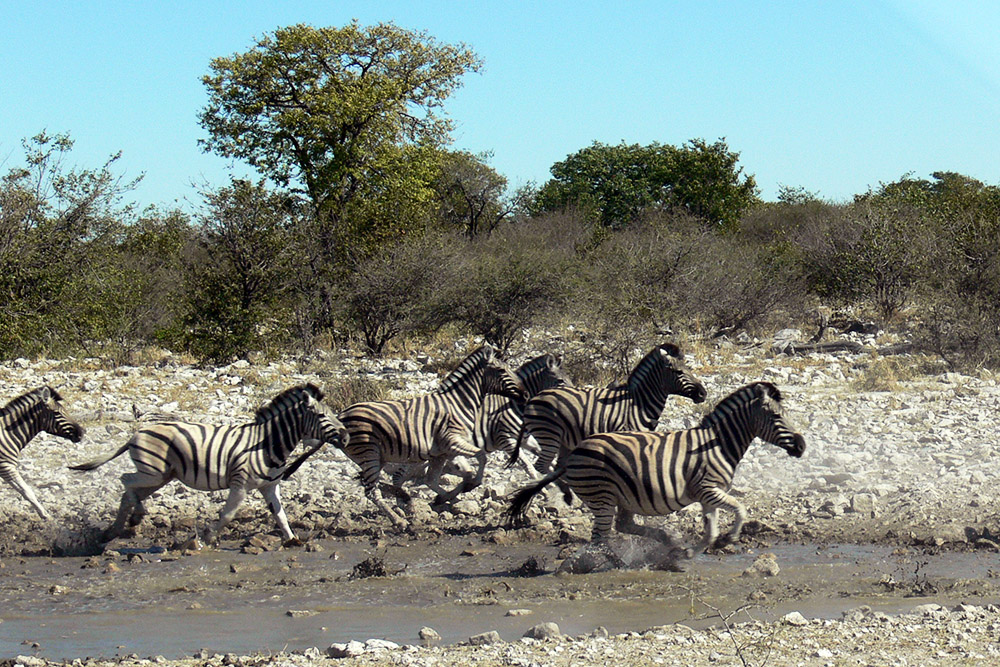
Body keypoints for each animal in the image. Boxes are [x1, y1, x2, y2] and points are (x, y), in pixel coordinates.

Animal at [1, 386, 85, 519]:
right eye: (57, 413)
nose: (81, 433)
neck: (7, 433)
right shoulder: (6, 466)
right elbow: (27, 492)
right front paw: (46, 516)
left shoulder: (5, 468)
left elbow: (23, 492)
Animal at [69, 383, 347, 543]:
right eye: (321, 416)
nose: (345, 436)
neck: (268, 443)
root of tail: (135, 434)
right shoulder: (240, 484)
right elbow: (227, 514)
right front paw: (208, 537)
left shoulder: (269, 486)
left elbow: (281, 515)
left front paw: (292, 540)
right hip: (153, 472)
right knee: (125, 481)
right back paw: (135, 516)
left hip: (160, 476)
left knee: (130, 493)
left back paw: (117, 529)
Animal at [337, 345, 526, 530]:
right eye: (501, 370)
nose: (525, 395)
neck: (459, 403)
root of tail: (341, 415)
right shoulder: (452, 442)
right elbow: (481, 457)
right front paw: (469, 486)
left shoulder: (442, 453)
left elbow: (436, 479)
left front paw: (446, 498)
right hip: (369, 454)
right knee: (371, 491)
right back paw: (399, 520)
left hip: (377, 457)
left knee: (373, 485)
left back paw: (401, 501)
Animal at [506, 343, 707, 501]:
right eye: (679, 372)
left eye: (689, 368)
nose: (703, 393)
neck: (638, 403)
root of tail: (533, 398)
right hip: (550, 435)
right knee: (541, 465)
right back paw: (558, 491)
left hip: (563, 439)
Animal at [506, 381, 806, 557]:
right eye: (777, 416)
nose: (802, 446)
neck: (719, 444)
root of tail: (574, 455)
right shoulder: (709, 489)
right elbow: (740, 509)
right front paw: (728, 538)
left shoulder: (708, 495)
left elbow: (710, 528)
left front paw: (695, 550)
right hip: (602, 496)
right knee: (600, 538)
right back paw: (612, 562)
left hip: (622, 496)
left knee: (622, 526)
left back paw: (666, 541)